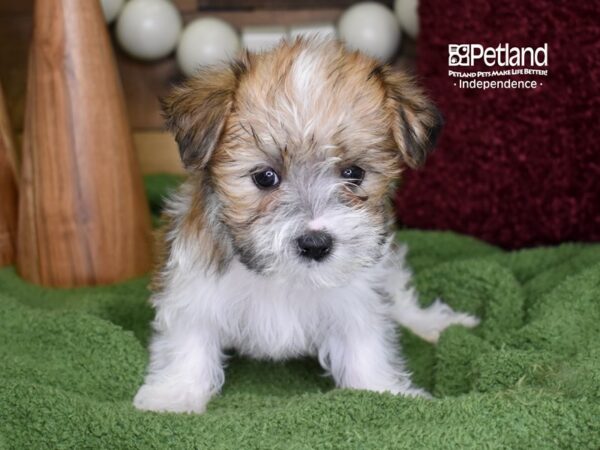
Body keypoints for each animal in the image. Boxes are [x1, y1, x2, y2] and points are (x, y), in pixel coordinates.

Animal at [132, 39, 478, 414]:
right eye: (265, 177)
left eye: (354, 173)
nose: (315, 244)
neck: (283, 279)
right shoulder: (193, 286)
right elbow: (190, 340)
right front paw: (174, 395)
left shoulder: (356, 296)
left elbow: (365, 347)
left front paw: (381, 391)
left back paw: (435, 323)